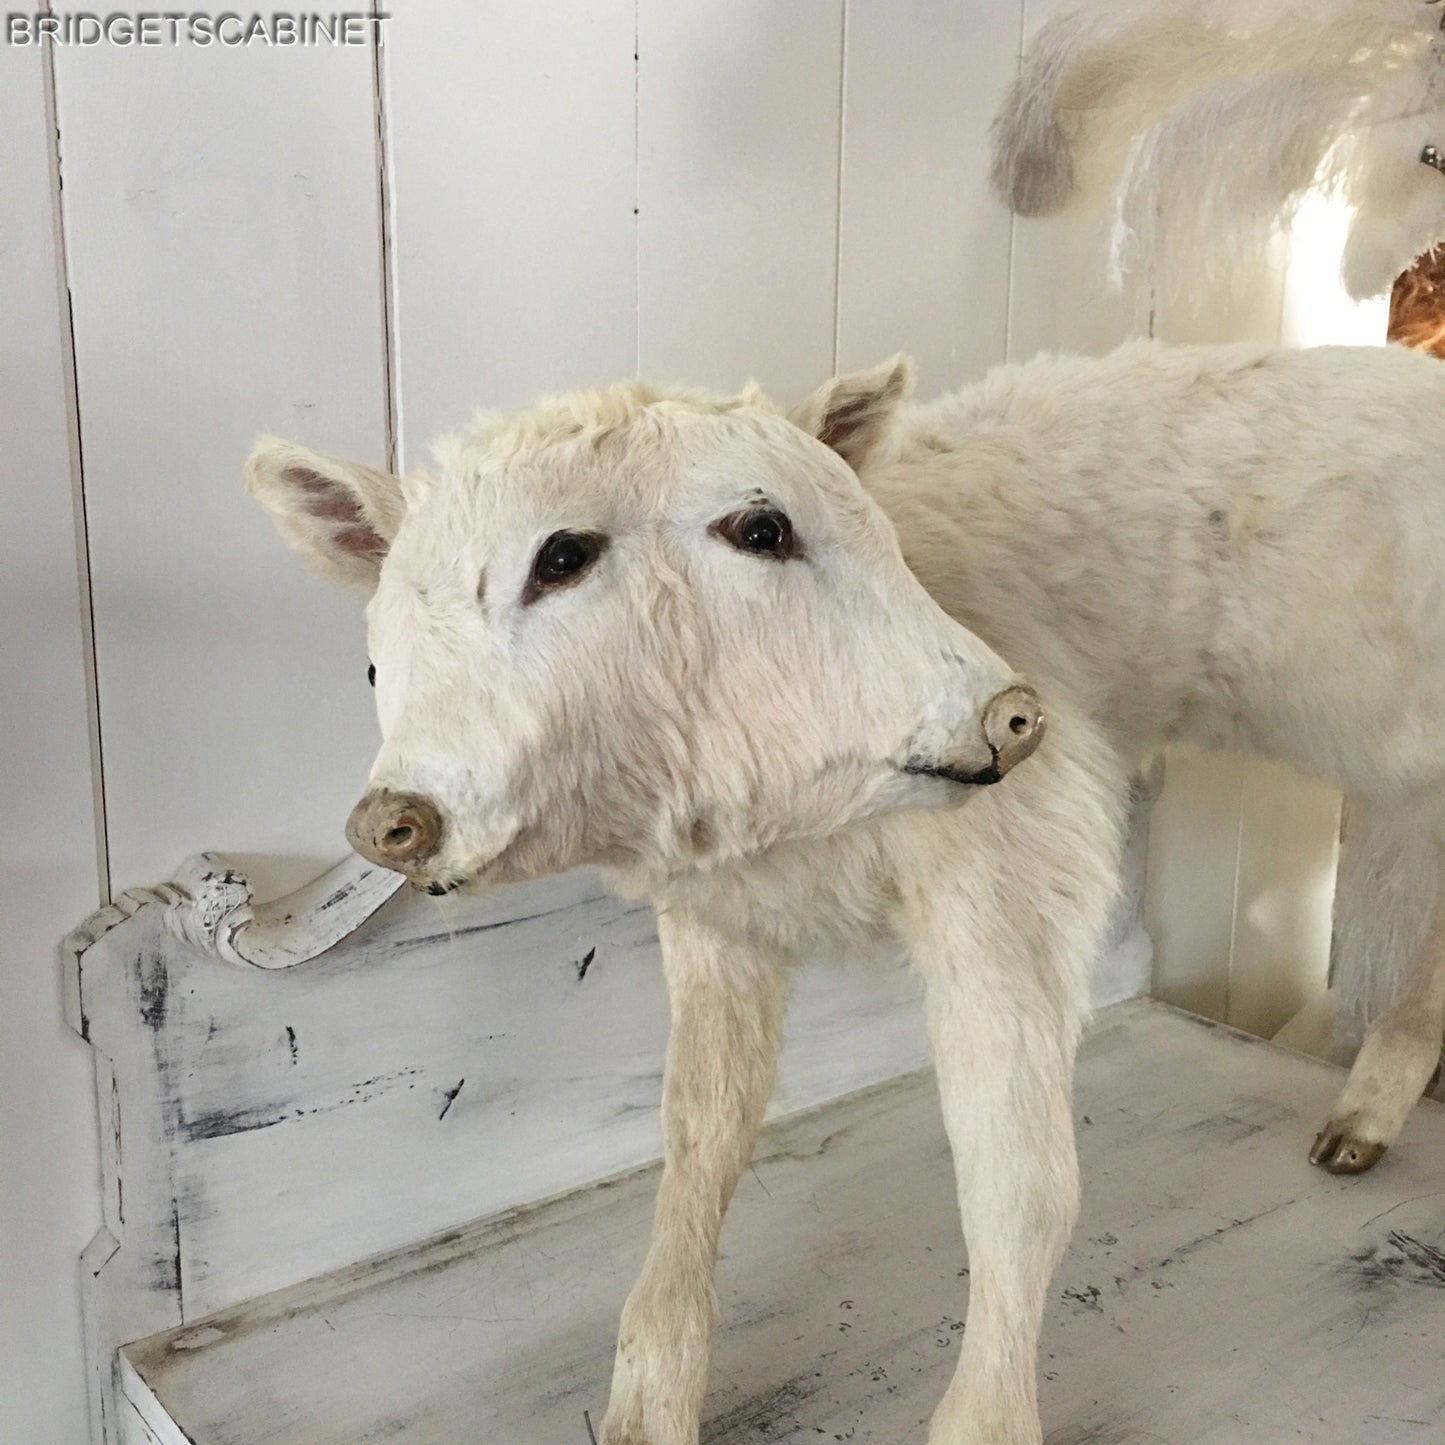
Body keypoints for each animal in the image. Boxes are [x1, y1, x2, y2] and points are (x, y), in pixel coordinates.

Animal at [249, 338, 1445, 1444]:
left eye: (563, 553)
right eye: (374, 652)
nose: (392, 816)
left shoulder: (1016, 877)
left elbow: (1017, 1176)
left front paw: (984, 1421)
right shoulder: (714, 926)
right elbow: (702, 1132)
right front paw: (647, 1402)